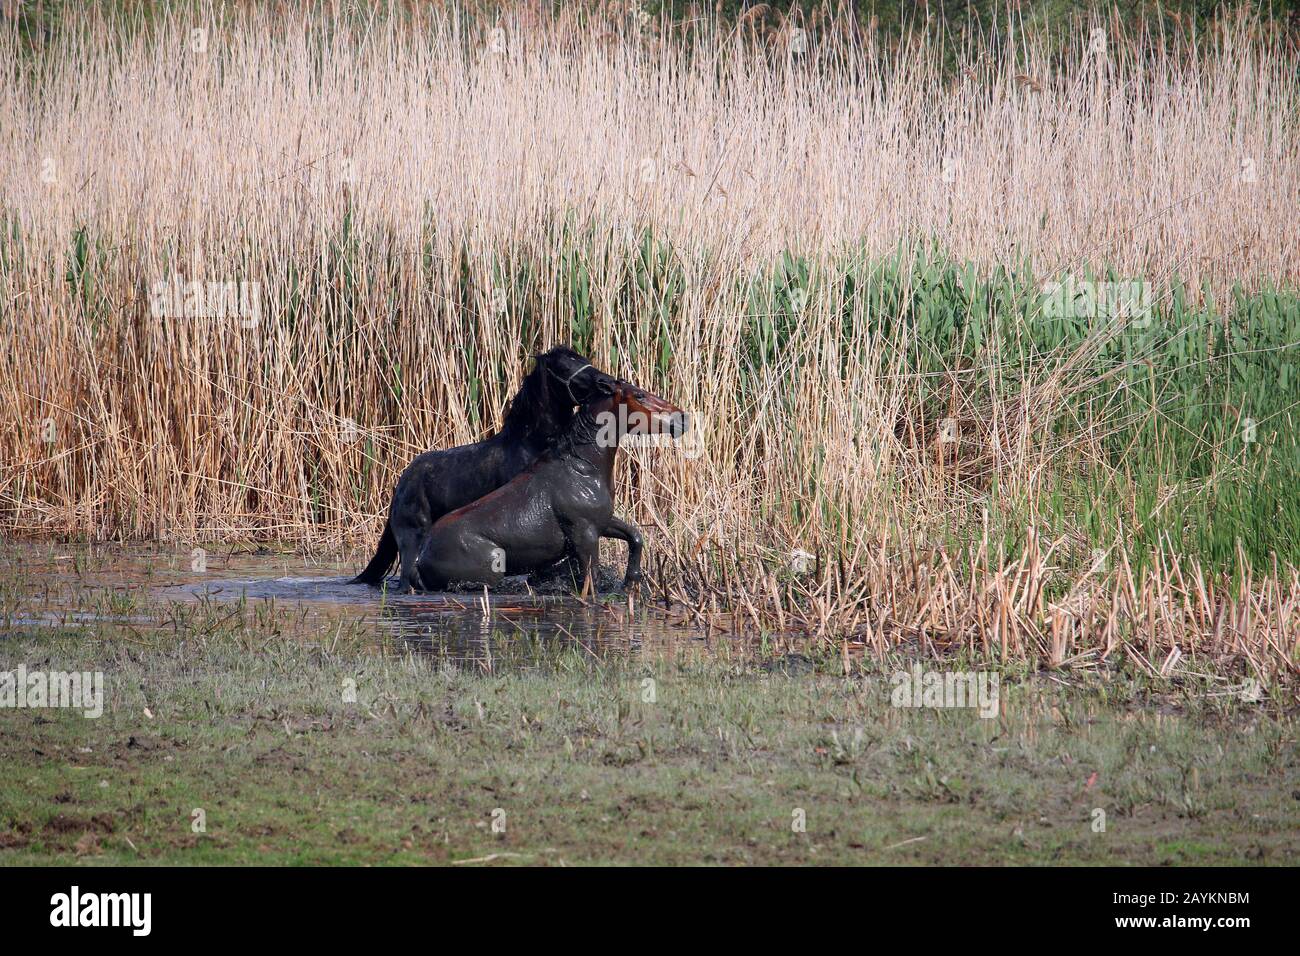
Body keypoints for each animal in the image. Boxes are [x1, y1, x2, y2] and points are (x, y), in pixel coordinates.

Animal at [351, 348, 618, 590]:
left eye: (582, 357)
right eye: (564, 366)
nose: (606, 382)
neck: (532, 444)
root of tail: (403, 480)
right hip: (412, 538)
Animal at [416, 379, 691, 590]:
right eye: (639, 394)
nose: (682, 417)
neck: (585, 469)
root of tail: (420, 560)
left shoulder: (602, 522)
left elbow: (636, 537)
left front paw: (630, 582)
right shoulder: (584, 533)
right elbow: (591, 579)